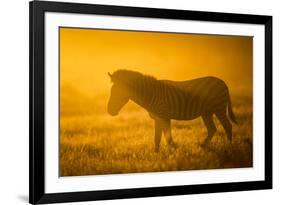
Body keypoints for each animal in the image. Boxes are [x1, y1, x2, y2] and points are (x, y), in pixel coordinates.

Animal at [107, 69, 236, 151]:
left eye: (116, 93)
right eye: (111, 92)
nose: (109, 111)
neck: (151, 94)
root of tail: (223, 82)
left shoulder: (163, 116)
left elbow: (165, 137)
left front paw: (170, 153)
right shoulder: (159, 118)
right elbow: (159, 137)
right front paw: (160, 153)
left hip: (218, 107)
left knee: (227, 126)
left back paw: (229, 146)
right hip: (207, 112)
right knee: (212, 129)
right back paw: (203, 146)